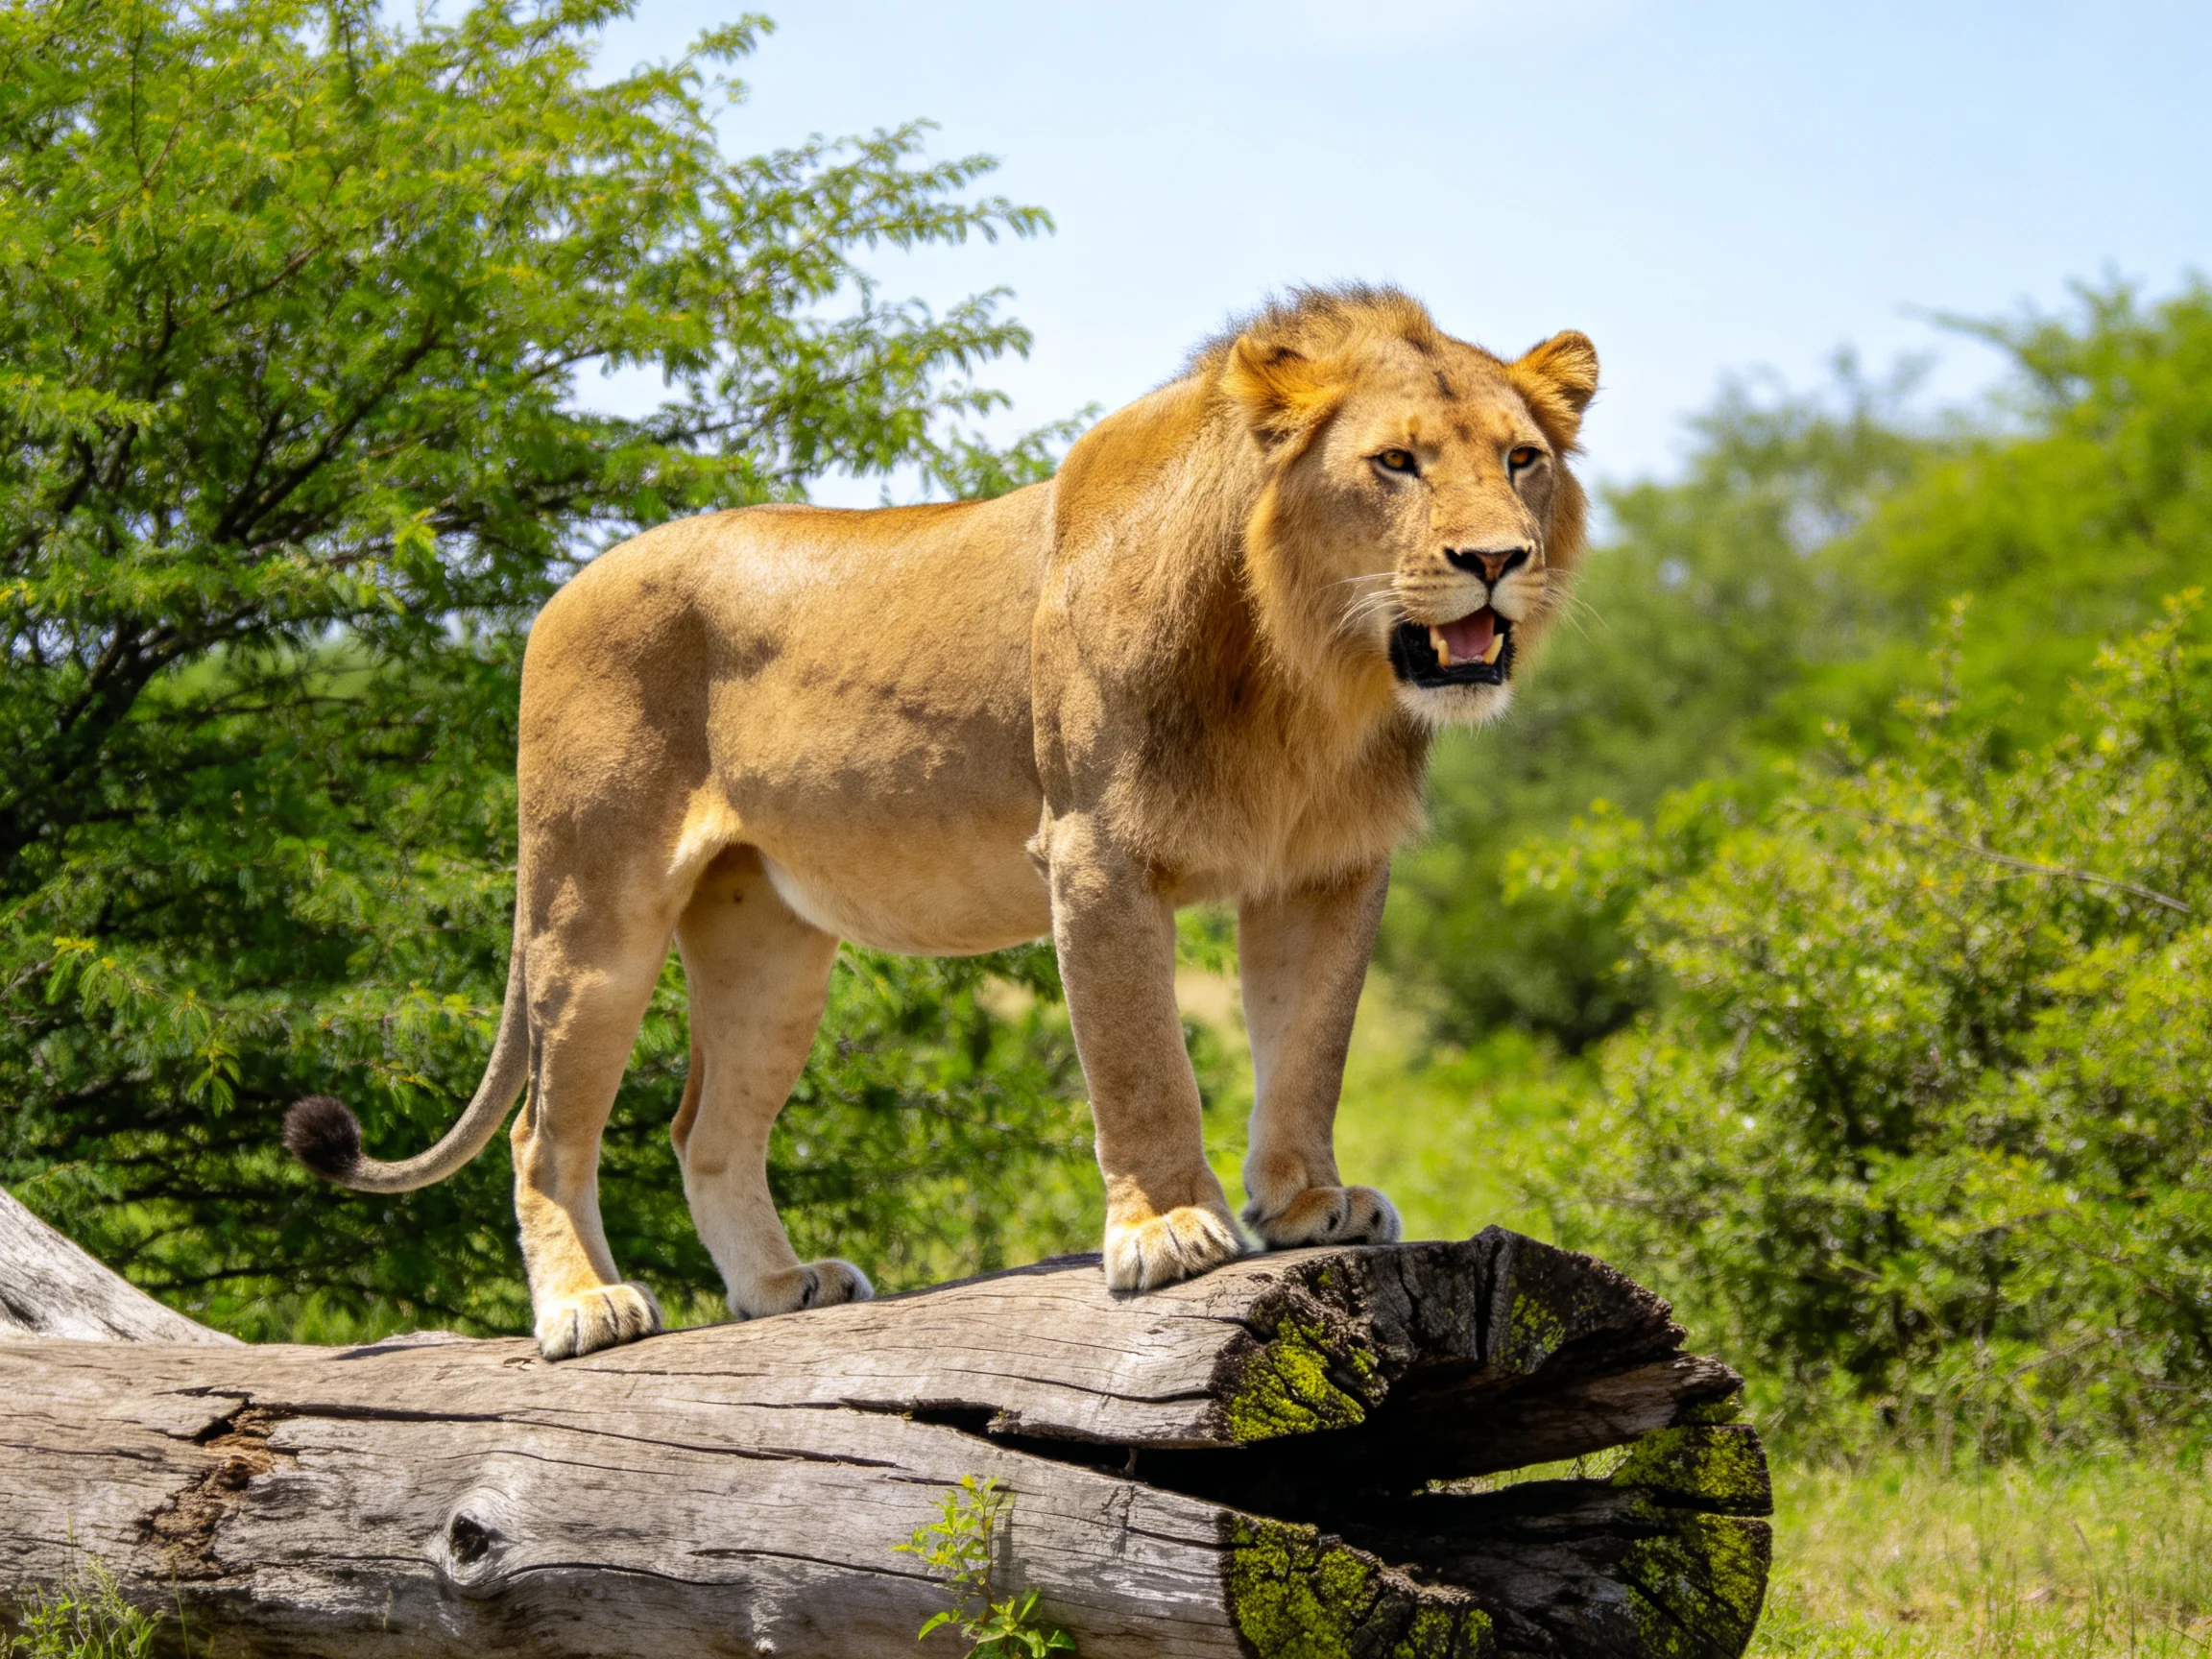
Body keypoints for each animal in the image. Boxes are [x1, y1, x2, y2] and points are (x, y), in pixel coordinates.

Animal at [285, 285, 1597, 1359]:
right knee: (543, 1134)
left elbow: (1310, 1048)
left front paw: (1308, 1205)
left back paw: (780, 1287)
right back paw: (585, 1308)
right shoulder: (1095, 851)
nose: (1497, 557)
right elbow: (1143, 1063)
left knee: (706, 1131)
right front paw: (1174, 1228)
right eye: (1396, 463)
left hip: (768, 947)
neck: (1309, 670)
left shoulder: (1326, 869)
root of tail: (561, 592)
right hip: (590, 911)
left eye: (1523, 459)